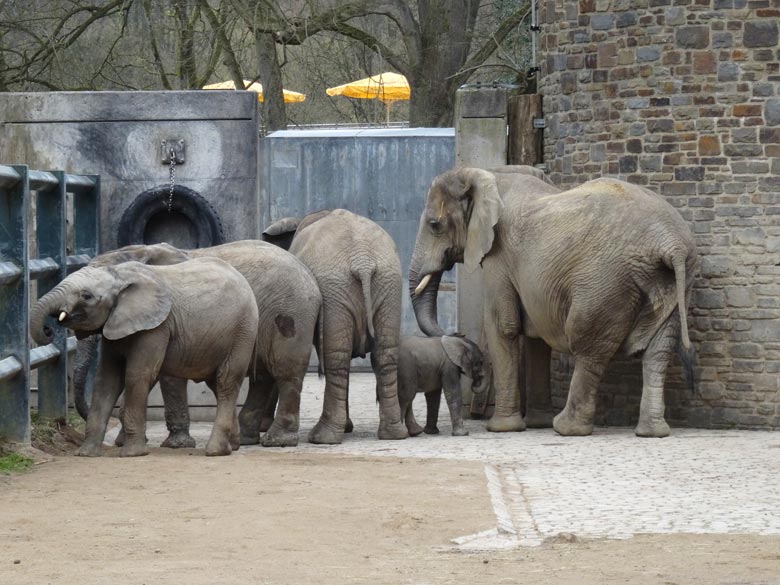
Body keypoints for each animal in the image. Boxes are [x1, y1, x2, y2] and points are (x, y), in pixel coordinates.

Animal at [67, 238, 322, 448]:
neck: (142, 250)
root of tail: (309, 275)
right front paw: (125, 441)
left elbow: (166, 376)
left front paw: (176, 444)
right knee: (263, 376)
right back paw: (247, 439)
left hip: (290, 314)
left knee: (285, 372)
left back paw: (277, 440)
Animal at [264, 209, 408, 442]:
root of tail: (363, 261)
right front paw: (348, 427)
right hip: (388, 285)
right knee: (384, 355)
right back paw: (394, 434)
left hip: (337, 288)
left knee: (336, 357)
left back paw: (322, 438)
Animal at [408, 167, 696, 436]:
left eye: (434, 225)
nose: (457, 333)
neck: (489, 177)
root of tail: (670, 243)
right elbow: (535, 332)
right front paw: (537, 424)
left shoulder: (498, 257)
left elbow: (503, 326)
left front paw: (502, 428)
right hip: (669, 284)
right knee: (658, 350)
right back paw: (652, 432)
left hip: (606, 283)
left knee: (588, 345)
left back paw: (567, 428)